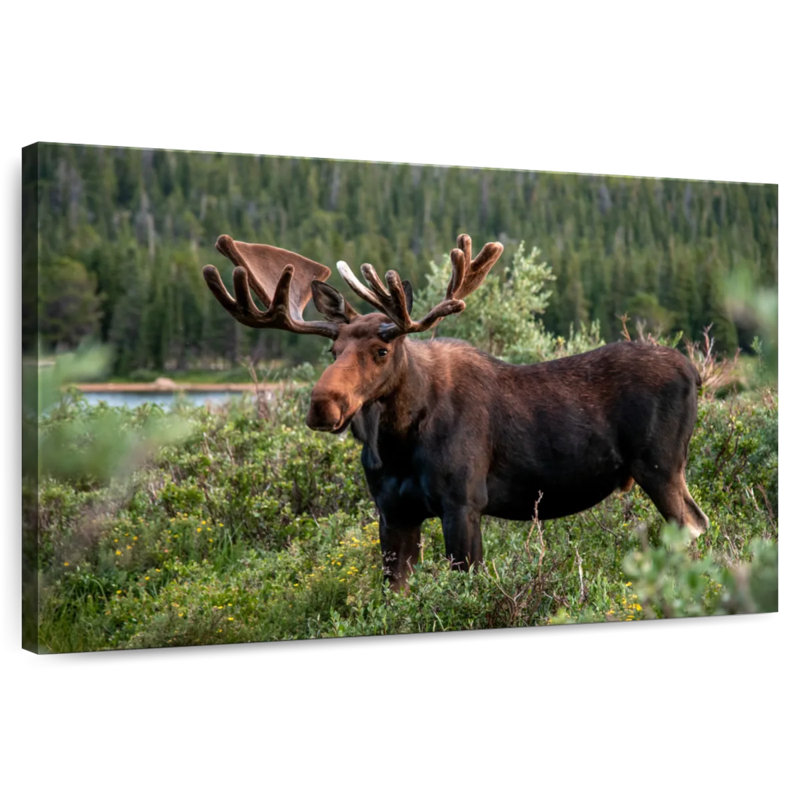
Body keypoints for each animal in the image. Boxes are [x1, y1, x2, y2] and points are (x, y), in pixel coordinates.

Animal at [203, 233, 709, 590]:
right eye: (333, 349)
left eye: (382, 350)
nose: (321, 405)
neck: (399, 442)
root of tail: (695, 372)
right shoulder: (393, 512)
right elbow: (395, 594)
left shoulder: (464, 503)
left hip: (661, 467)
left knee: (694, 525)